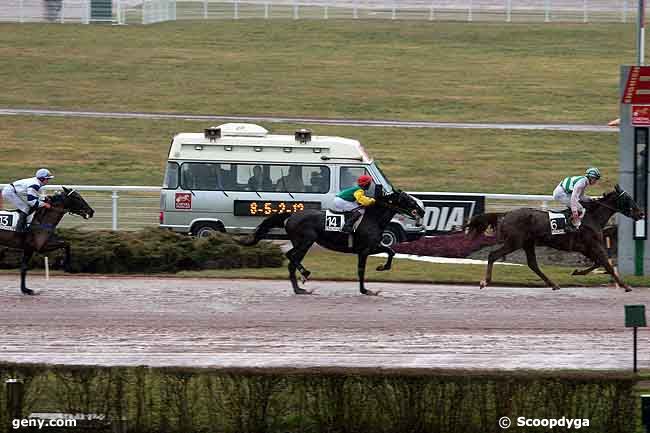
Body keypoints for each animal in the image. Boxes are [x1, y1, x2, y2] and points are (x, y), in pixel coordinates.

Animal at [466, 185, 644, 290]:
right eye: (628, 199)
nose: (641, 213)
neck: (592, 217)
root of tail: (506, 214)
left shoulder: (586, 248)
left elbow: (600, 263)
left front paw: (577, 272)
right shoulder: (592, 245)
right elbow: (606, 263)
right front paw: (625, 285)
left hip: (528, 243)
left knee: (533, 264)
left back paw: (553, 284)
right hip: (514, 242)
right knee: (492, 255)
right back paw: (485, 281)